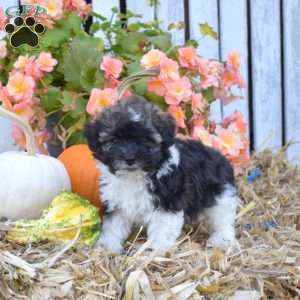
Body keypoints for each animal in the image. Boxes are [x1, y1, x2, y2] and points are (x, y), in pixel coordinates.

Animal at [85, 96, 238, 253]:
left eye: (145, 139)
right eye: (115, 140)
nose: (129, 159)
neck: (135, 177)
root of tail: (219, 155)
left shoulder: (168, 202)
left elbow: (162, 228)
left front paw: (156, 248)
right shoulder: (116, 202)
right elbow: (113, 226)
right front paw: (107, 247)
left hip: (221, 195)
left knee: (222, 219)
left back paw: (222, 240)